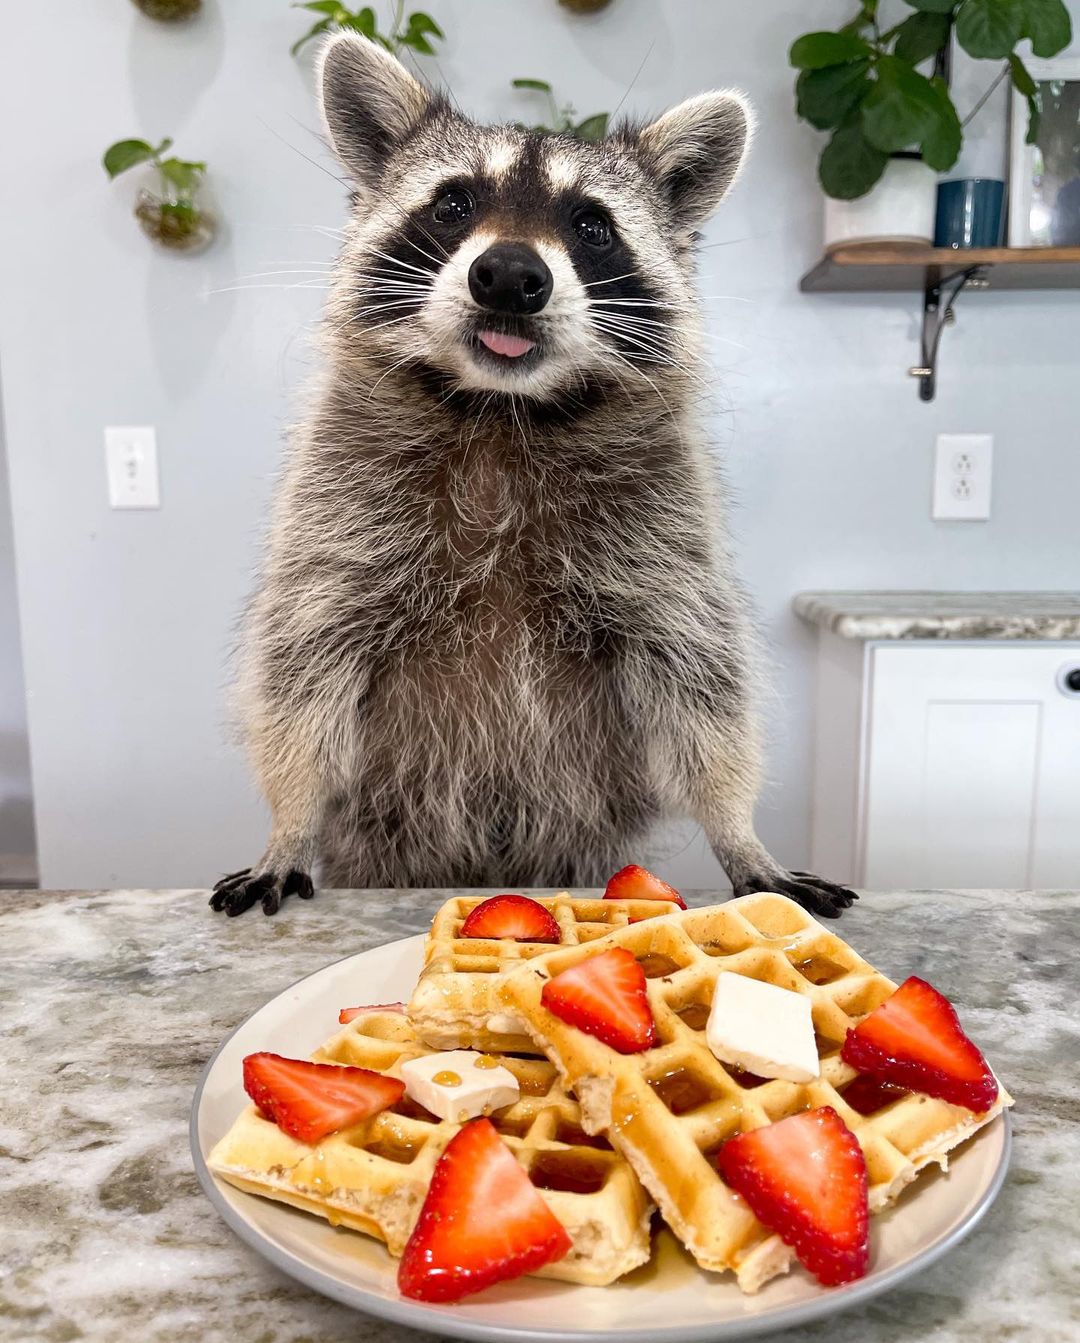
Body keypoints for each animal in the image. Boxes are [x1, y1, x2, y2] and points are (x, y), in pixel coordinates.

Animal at [210, 34, 856, 920]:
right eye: (452, 204)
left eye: (591, 225)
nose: (511, 274)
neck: (501, 409)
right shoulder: (338, 509)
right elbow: (302, 669)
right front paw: (291, 820)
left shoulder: (666, 536)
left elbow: (701, 681)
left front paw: (738, 827)